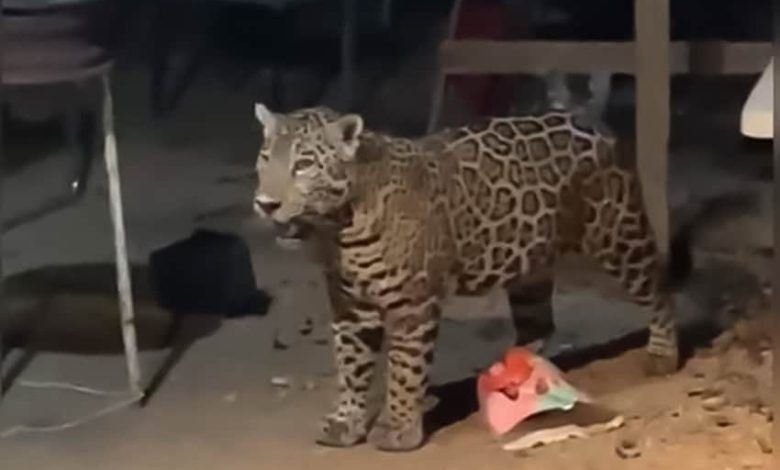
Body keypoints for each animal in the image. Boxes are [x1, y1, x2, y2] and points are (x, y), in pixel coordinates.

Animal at [251, 103, 690, 452]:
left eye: (303, 165)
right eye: (265, 158)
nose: (264, 204)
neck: (338, 229)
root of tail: (595, 122)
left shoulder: (413, 304)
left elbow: (403, 371)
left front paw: (399, 431)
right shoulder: (350, 307)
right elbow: (350, 368)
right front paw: (346, 423)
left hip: (618, 235)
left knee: (657, 286)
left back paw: (662, 356)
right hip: (529, 262)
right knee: (539, 324)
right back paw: (512, 378)